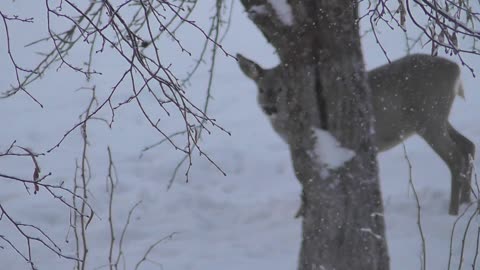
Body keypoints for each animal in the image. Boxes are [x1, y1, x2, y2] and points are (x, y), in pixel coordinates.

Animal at [236, 53, 472, 215]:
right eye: (260, 89)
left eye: (281, 89)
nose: (269, 108)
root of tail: (456, 70)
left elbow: (305, 177)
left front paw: (301, 214)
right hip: (438, 118)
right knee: (468, 146)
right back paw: (466, 203)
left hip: (429, 117)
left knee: (455, 158)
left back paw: (452, 211)